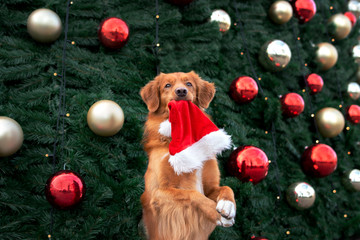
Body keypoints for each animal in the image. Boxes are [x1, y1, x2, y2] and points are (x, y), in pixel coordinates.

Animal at [140, 71, 236, 240]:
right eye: (167, 85)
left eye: (189, 84)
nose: (181, 91)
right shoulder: (157, 192)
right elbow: (191, 193)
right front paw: (216, 214)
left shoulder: (211, 188)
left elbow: (226, 187)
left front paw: (228, 204)